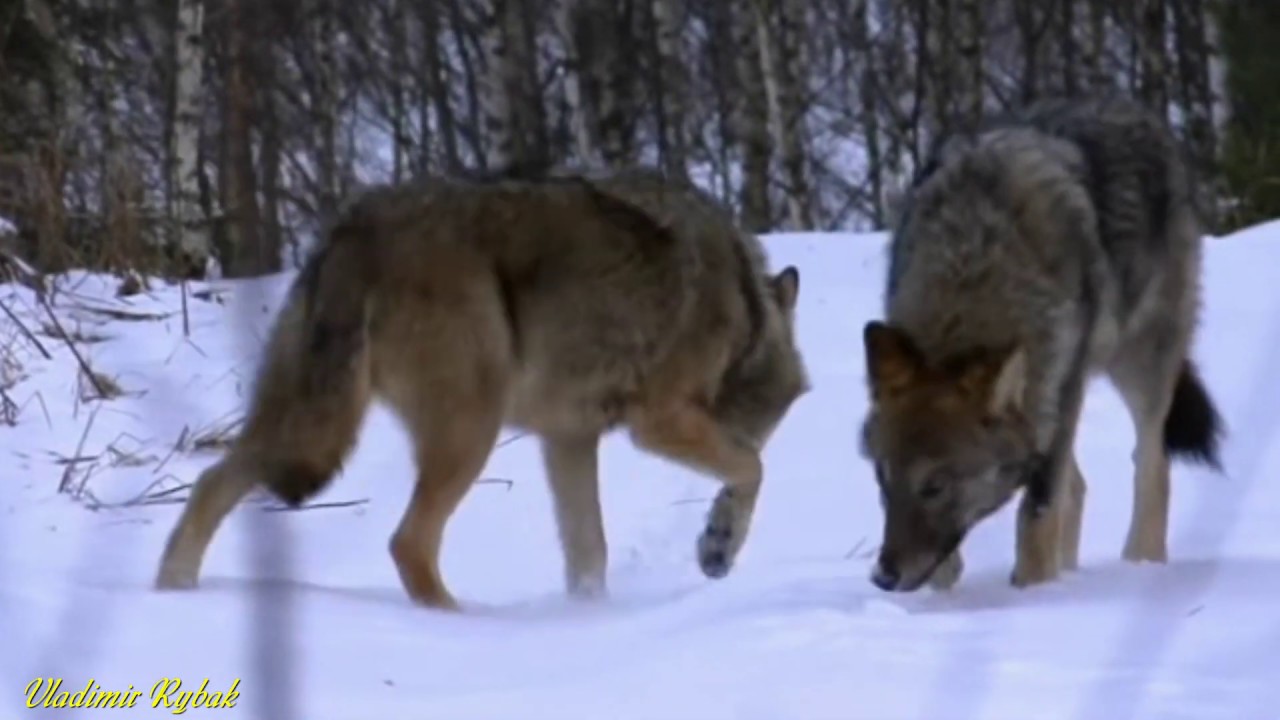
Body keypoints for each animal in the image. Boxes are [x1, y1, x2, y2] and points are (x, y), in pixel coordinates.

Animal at [152, 166, 808, 604]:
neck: (747, 315)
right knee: (408, 543)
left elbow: (589, 553)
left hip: (304, 422)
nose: (712, 544)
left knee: (212, 483)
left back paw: (174, 592)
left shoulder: (567, 439)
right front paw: (720, 542)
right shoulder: (659, 419)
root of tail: (358, 226)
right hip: (469, 431)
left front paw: (590, 619)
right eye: (765, 427)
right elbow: (752, 468)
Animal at [855, 94, 1223, 589]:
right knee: (1082, 485)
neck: (973, 256)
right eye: (882, 480)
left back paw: (1139, 567)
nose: (882, 577)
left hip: (1138, 366)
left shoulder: (1062, 388)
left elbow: (1037, 511)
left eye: (935, 486)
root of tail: (1133, 108)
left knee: (1151, 464)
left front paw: (1032, 593)